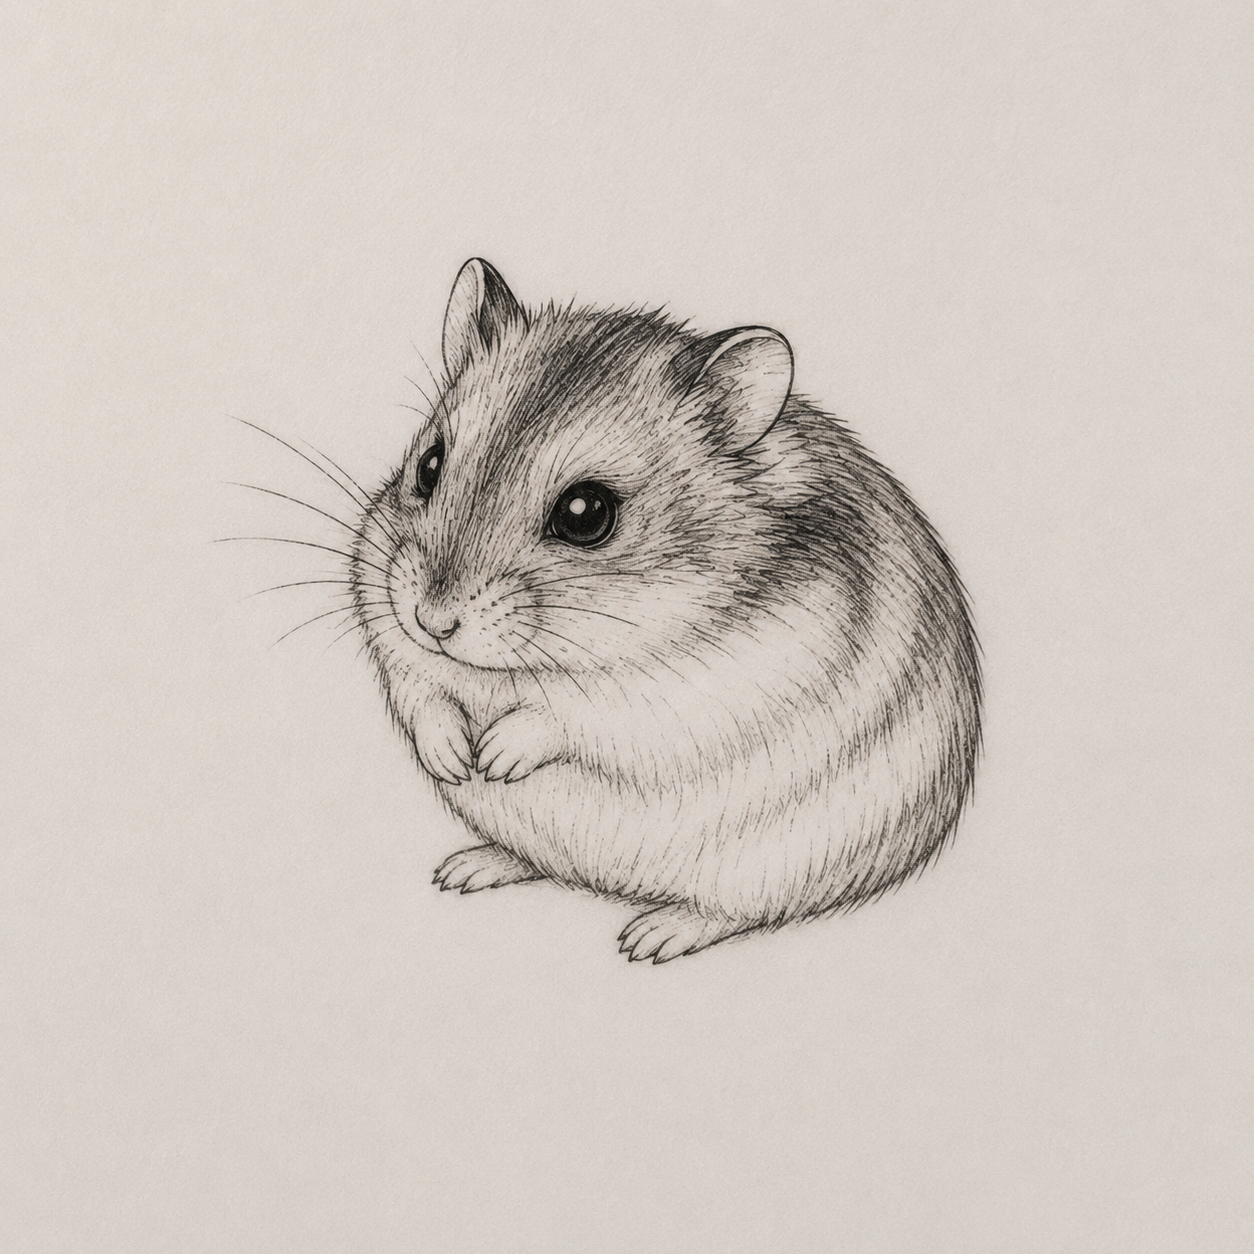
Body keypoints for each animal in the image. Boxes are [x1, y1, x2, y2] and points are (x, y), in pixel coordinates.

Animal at [350, 258, 982, 963]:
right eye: (429, 466)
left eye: (586, 513)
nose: (432, 622)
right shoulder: (387, 624)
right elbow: (421, 691)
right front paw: (456, 759)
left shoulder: (690, 692)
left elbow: (572, 715)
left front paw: (494, 757)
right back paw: (465, 868)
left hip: (774, 866)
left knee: (734, 912)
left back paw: (648, 938)